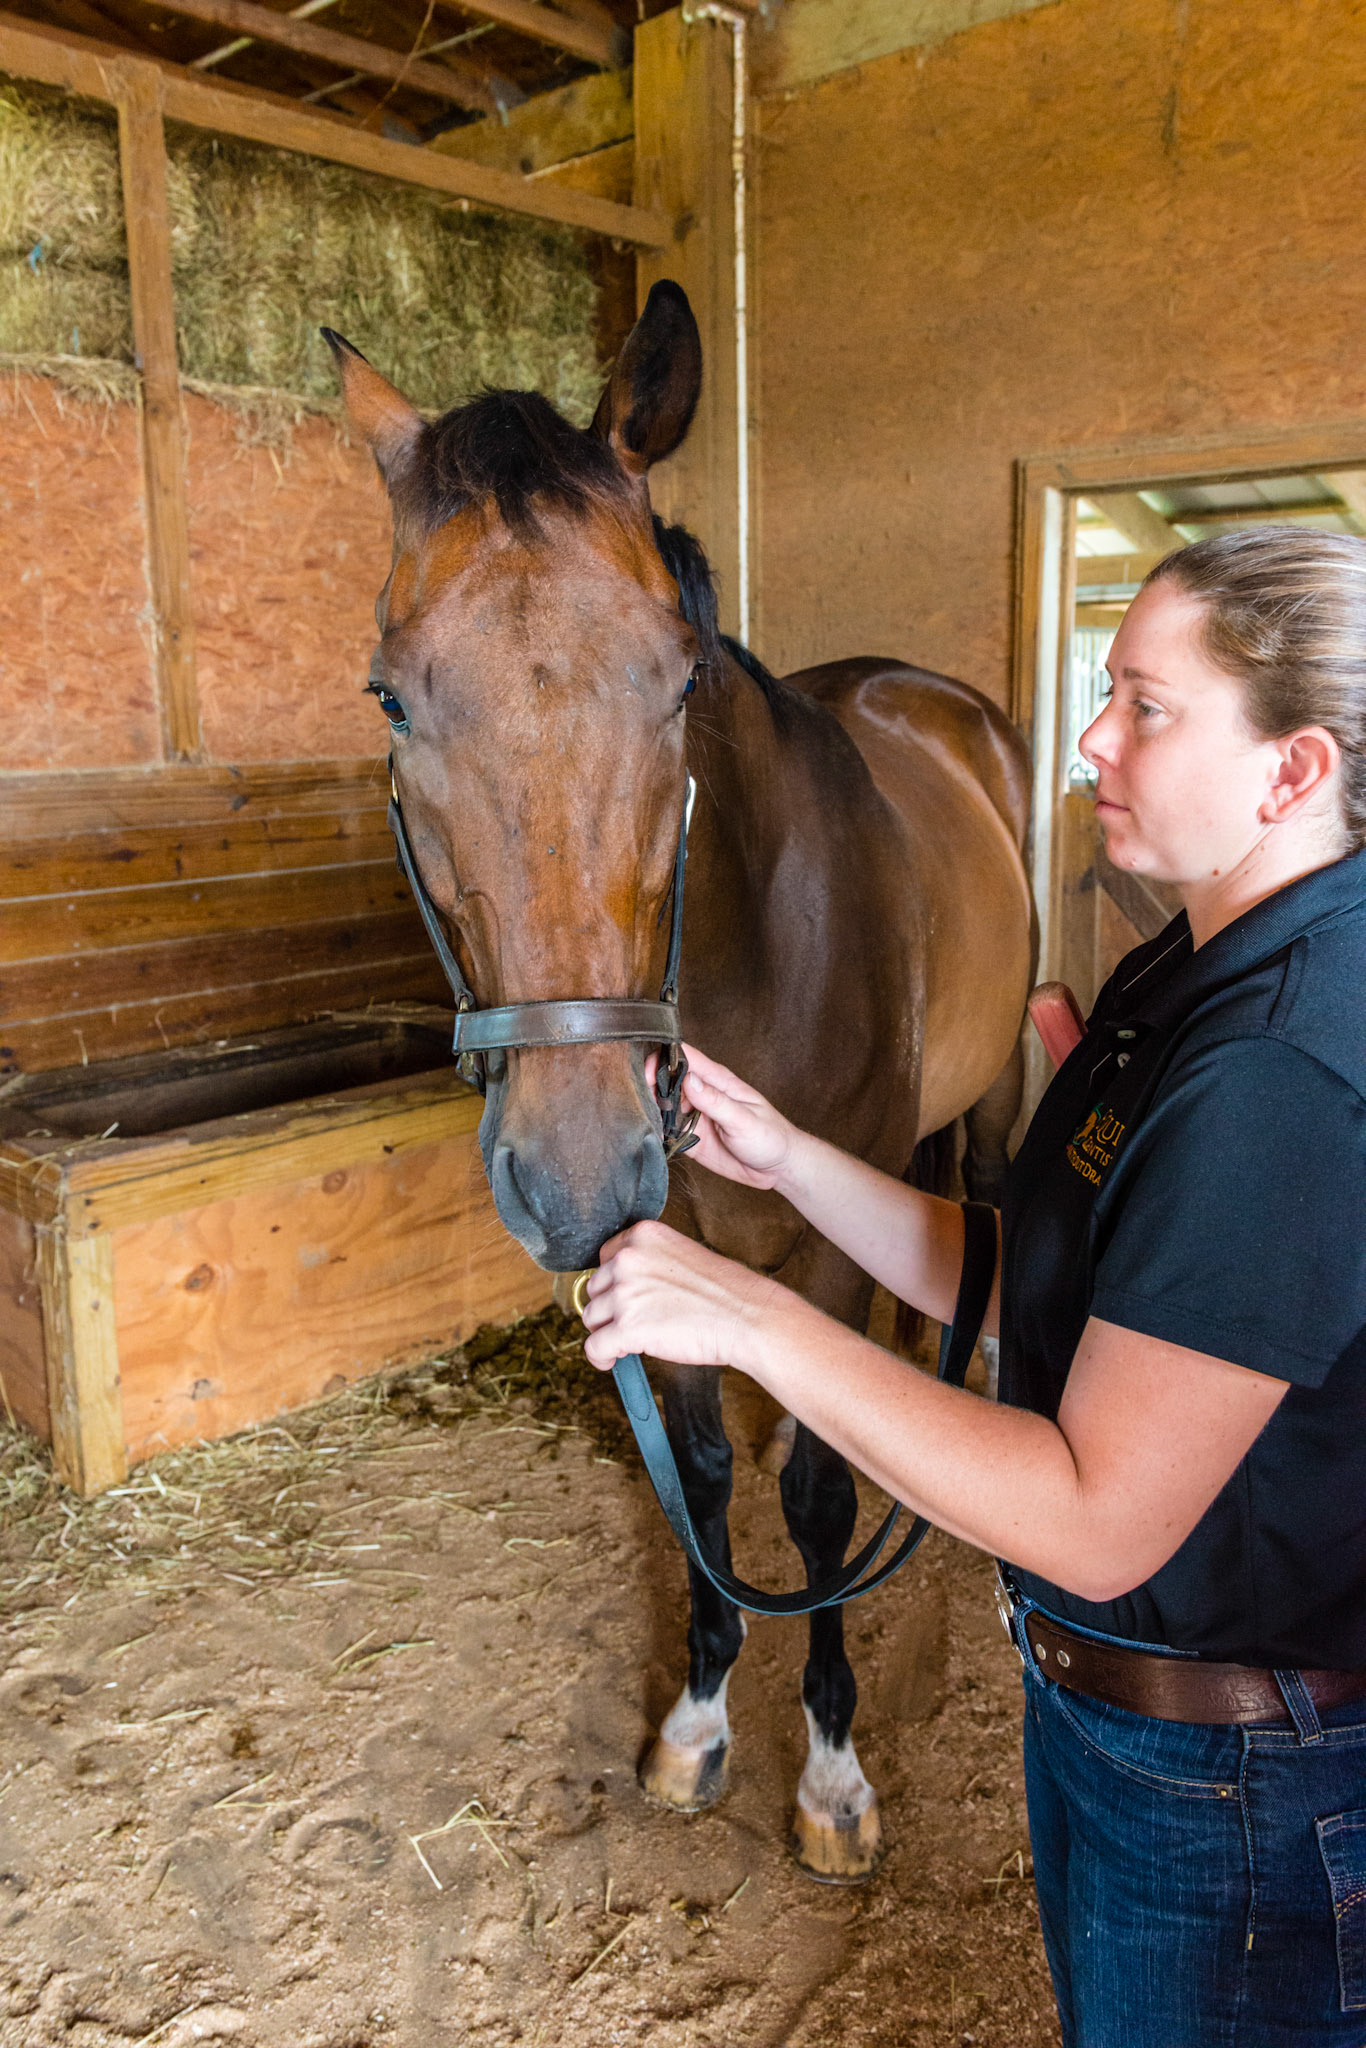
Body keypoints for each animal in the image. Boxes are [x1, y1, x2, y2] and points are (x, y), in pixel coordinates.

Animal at [325, 279, 1033, 1883]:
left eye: (681, 676)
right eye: (391, 696)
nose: (578, 1172)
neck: (748, 948)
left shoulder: (817, 1236)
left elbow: (818, 1498)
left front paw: (829, 1770)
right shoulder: (676, 1242)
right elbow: (703, 1472)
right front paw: (701, 1716)